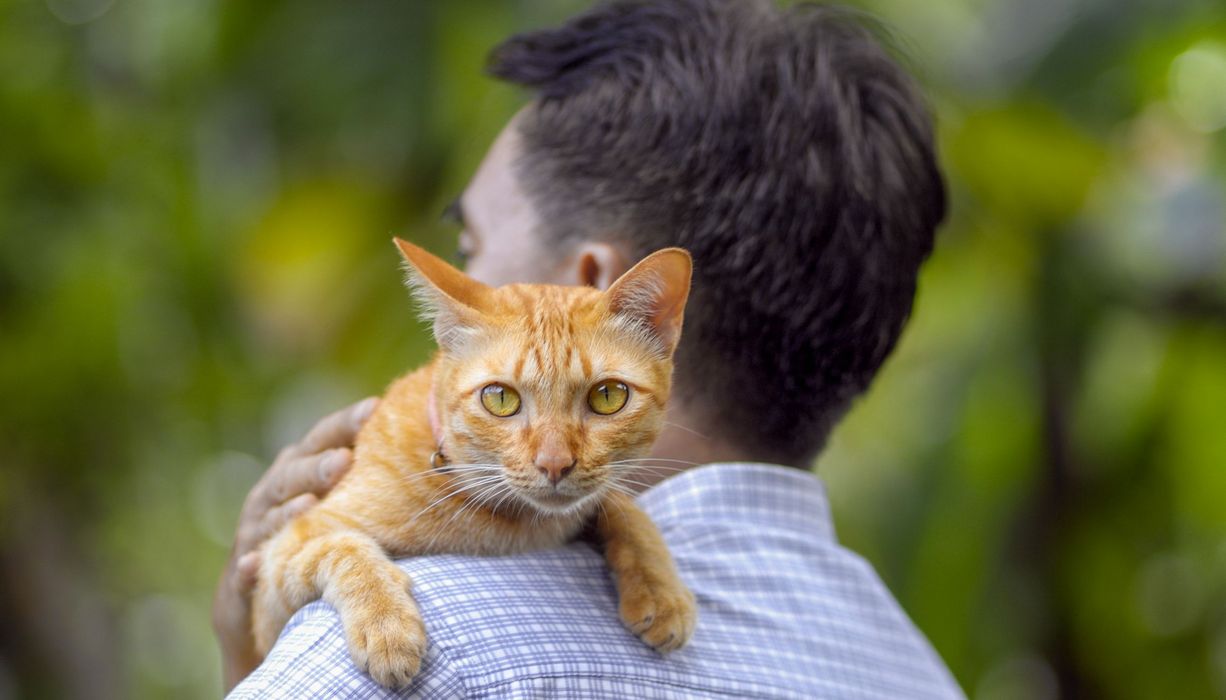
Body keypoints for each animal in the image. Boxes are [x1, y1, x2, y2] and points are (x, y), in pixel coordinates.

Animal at [248, 237, 701, 686]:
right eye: (500, 398)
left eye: (608, 396)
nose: (554, 463)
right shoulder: (278, 570)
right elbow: (343, 548)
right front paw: (386, 625)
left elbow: (622, 509)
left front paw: (660, 588)